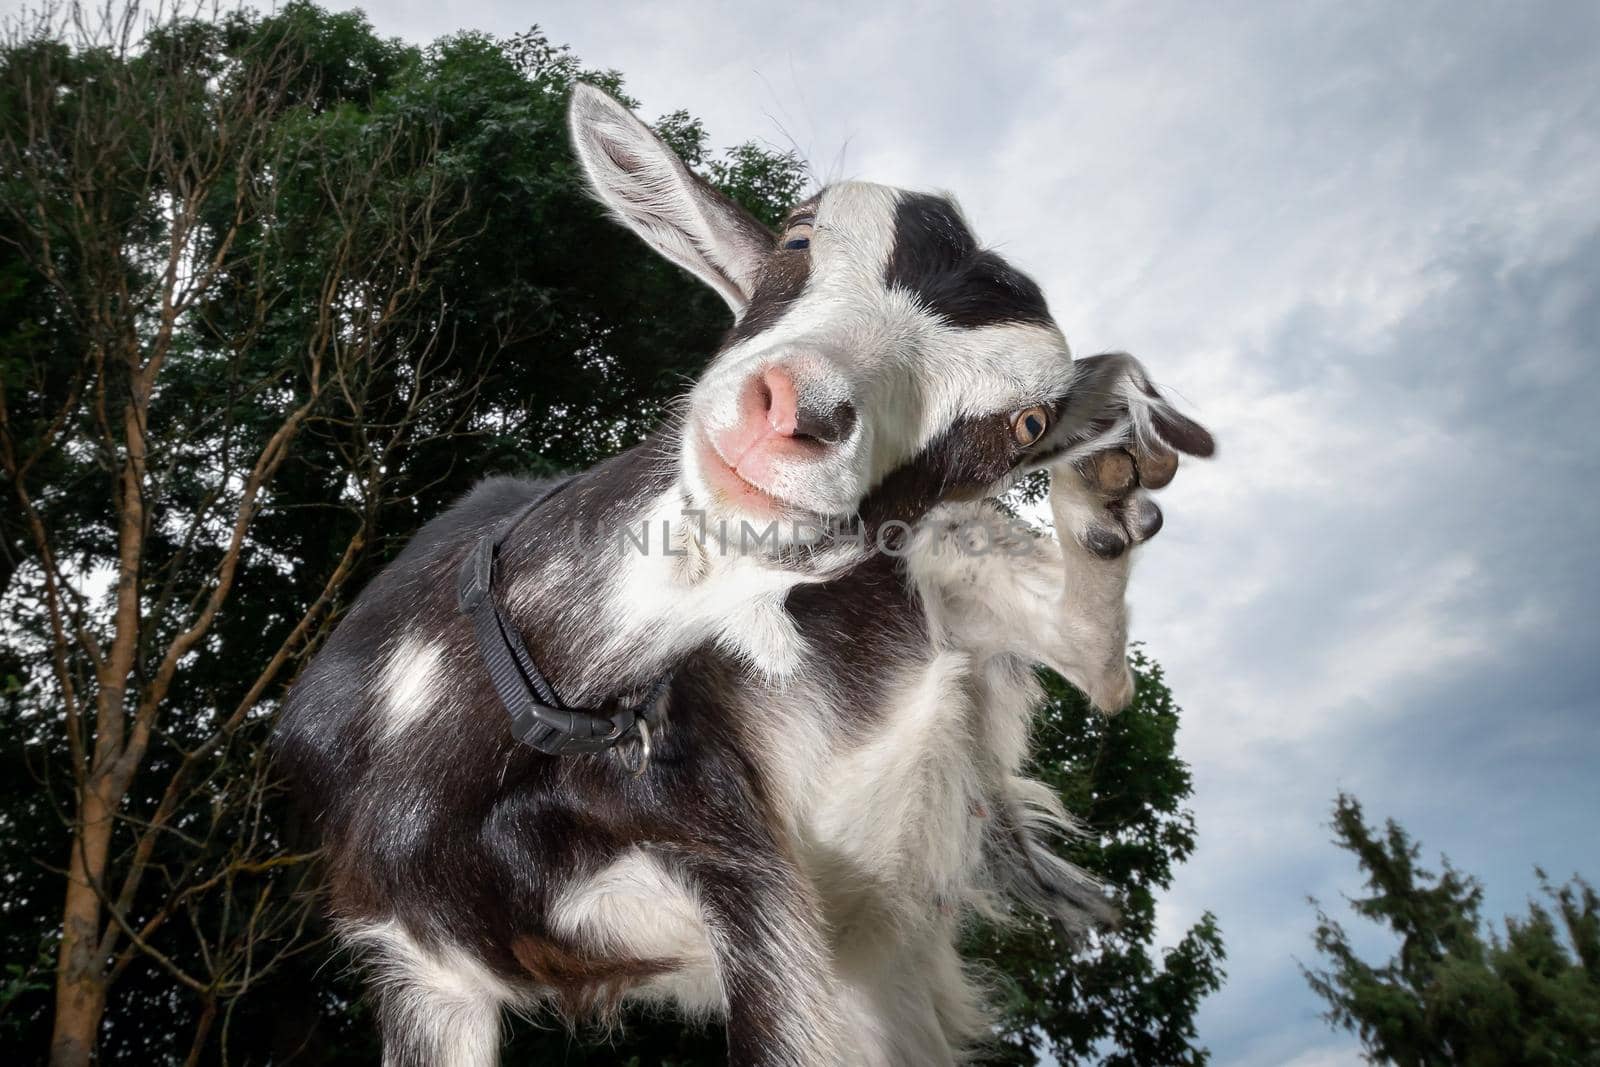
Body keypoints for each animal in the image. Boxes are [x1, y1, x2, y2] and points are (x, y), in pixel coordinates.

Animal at [278, 85, 1209, 1067]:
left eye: (1023, 426)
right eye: (798, 237)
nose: (799, 409)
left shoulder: (746, 878)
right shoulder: (414, 963)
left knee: (1101, 669)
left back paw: (1109, 489)